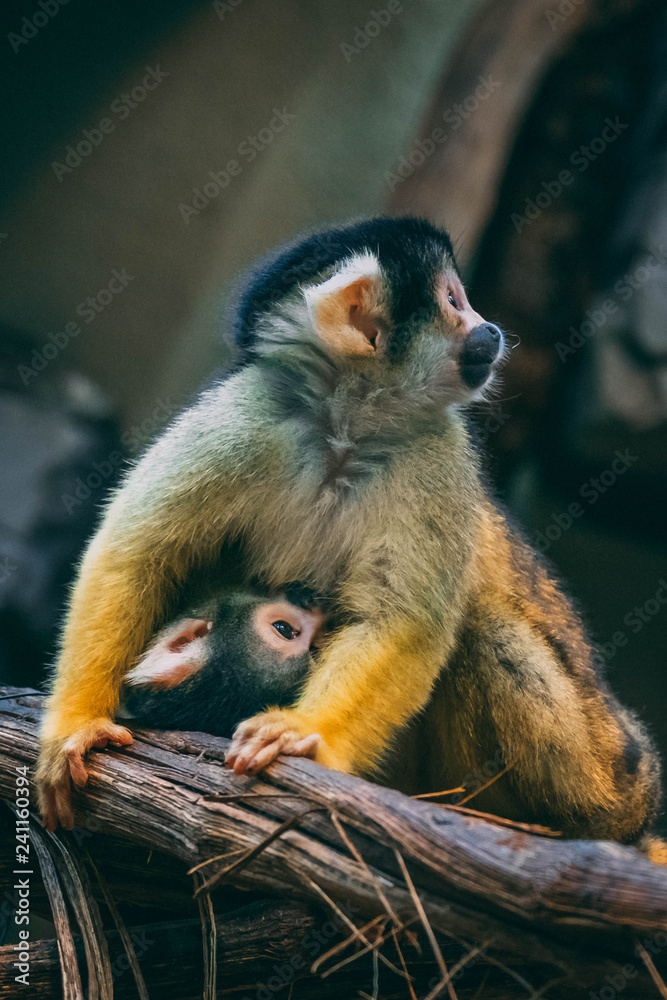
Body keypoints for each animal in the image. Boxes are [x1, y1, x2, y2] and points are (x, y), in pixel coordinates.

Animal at [36, 216, 663, 855]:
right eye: (454, 302)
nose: (489, 329)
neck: (349, 424)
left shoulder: (438, 448)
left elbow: (403, 622)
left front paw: (304, 732)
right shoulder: (248, 411)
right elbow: (137, 554)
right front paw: (77, 725)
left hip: (599, 773)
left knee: (485, 630)